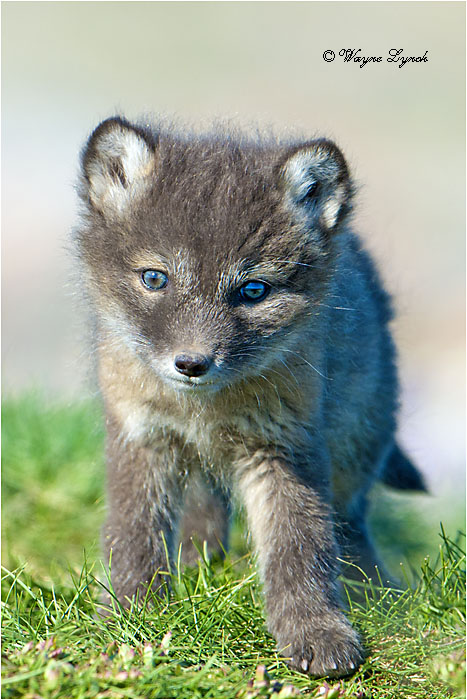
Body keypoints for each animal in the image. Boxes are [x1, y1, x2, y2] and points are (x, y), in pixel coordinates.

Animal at [74, 115, 425, 677]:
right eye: (155, 278)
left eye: (254, 290)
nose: (192, 363)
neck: (204, 409)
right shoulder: (141, 434)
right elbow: (133, 532)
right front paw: (131, 616)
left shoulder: (285, 444)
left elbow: (299, 543)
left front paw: (316, 630)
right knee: (204, 505)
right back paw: (199, 563)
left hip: (357, 441)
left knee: (349, 522)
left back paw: (374, 590)